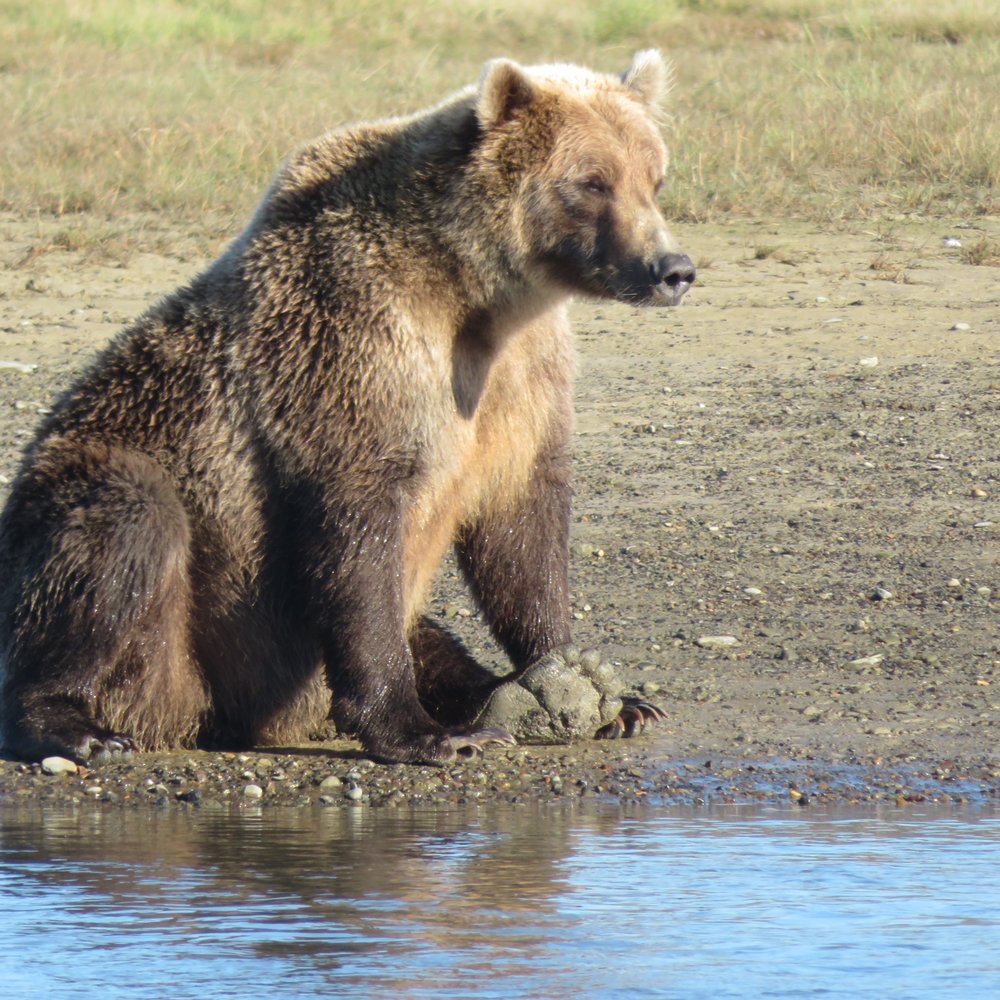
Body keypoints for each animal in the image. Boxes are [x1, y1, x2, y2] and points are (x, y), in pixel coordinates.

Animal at [0, 50, 695, 766]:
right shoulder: (353, 352)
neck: (475, 299)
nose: (672, 268)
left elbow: (522, 524)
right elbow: (360, 537)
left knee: (431, 636)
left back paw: (503, 697)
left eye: (654, 178)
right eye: (591, 182)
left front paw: (589, 685)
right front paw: (421, 732)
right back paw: (75, 725)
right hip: (143, 583)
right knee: (119, 534)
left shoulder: (524, 378)